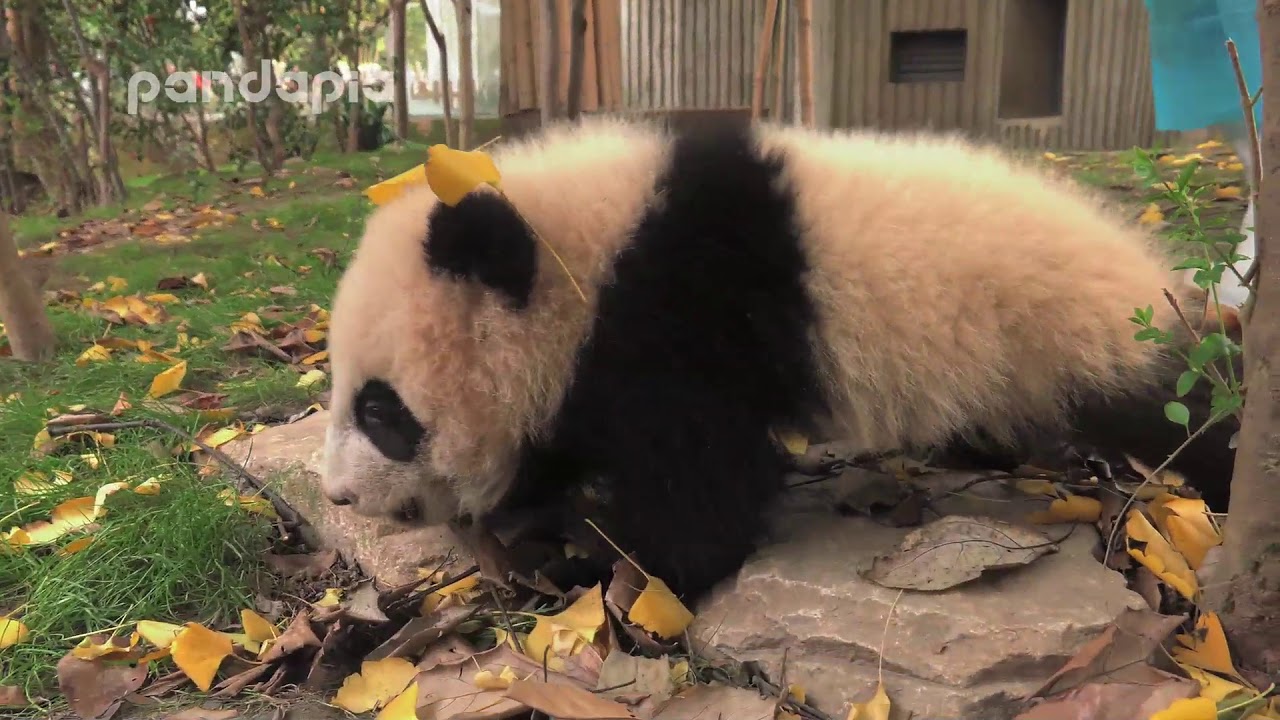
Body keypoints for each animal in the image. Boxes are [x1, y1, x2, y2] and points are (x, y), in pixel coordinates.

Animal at [321, 117, 1238, 606]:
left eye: (380, 411)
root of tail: (1147, 267)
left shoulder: (681, 317)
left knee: (1176, 409)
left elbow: (702, 489)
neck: (585, 258)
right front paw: (537, 523)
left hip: (1083, 330)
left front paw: (604, 560)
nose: (338, 496)